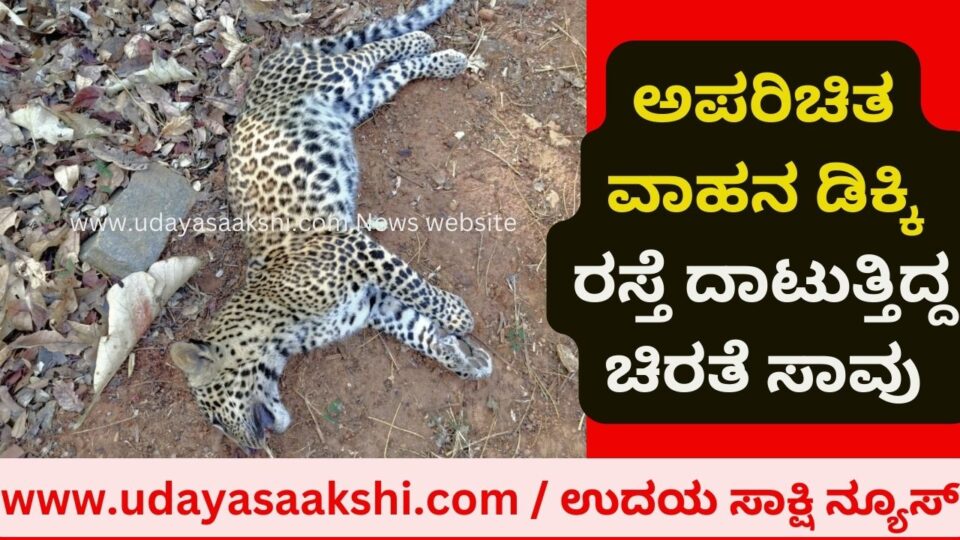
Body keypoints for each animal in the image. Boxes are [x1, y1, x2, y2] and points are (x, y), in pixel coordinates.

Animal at [167, 0, 492, 453]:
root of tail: (267, 67)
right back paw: (444, 59)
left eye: (214, 417)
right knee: (391, 71)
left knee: (371, 52)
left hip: (332, 77)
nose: (248, 450)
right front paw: (463, 358)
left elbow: (415, 287)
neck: (278, 334)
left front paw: (458, 316)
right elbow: (418, 329)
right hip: (353, 102)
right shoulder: (374, 303)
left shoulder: (351, 247)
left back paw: (423, 40)